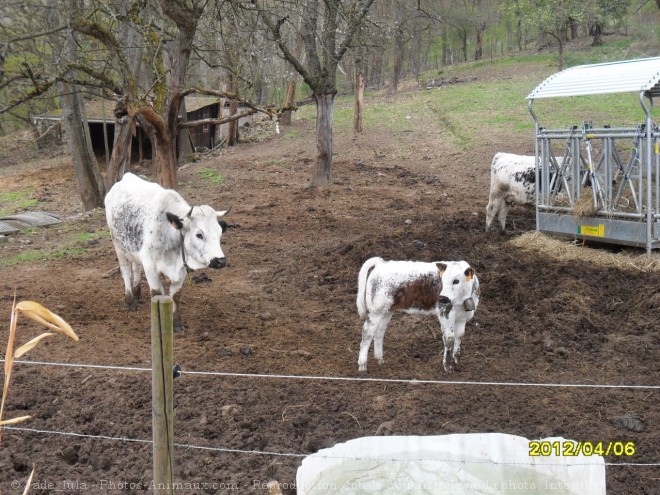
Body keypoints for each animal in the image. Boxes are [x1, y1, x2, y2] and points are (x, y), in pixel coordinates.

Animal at [106, 172, 232, 332]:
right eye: (199, 234)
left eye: (220, 232)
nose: (220, 261)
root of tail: (126, 177)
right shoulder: (150, 266)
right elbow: (157, 294)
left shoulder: (181, 269)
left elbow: (176, 296)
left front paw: (176, 323)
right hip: (118, 245)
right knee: (126, 271)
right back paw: (130, 300)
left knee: (136, 267)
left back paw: (136, 292)